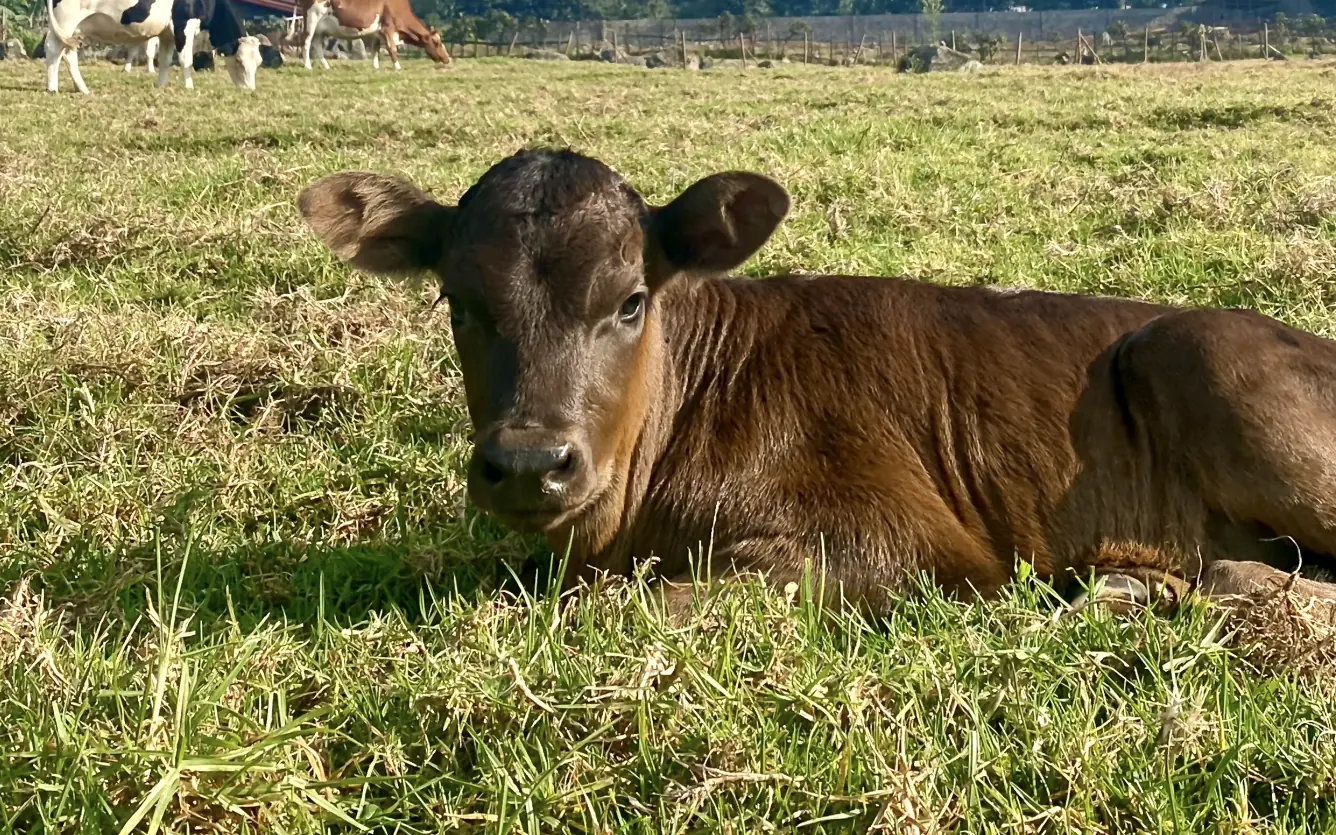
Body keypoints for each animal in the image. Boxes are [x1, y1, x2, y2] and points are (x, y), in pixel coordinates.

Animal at [45, 0, 261, 93]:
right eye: (239, 61)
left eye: (258, 62)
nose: (250, 90)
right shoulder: (184, 24)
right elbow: (186, 60)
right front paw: (189, 87)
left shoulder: (167, 34)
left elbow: (164, 60)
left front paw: (161, 85)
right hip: (66, 19)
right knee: (53, 49)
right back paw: (52, 88)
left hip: (75, 29)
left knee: (69, 54)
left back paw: (82, 88)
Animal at [298, 0, 450, 71]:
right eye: (437, 42)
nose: (447, 59)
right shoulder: (388, 28)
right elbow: (392, 49)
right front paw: (398, 67)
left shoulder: (377, 33)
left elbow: (376, 49)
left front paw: (376, 67)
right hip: (311, 20)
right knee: (306, 42)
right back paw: (307, 66)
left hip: (320, 30)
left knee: (317, 45)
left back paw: (326, 66)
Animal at [298, 149, 1336, 619]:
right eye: (457, 301)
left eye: (631, 300)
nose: (526, 462)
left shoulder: (895, 543)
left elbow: (634, 600)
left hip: (1204, 358)